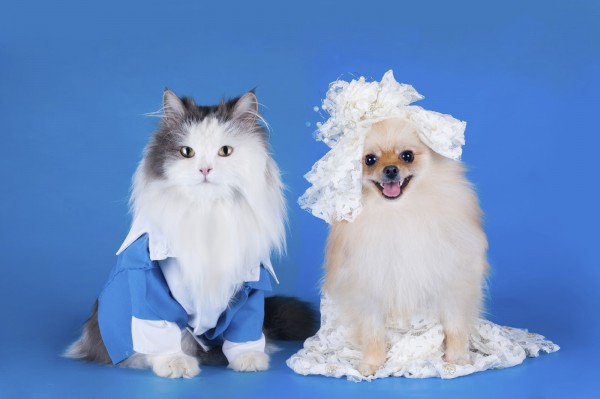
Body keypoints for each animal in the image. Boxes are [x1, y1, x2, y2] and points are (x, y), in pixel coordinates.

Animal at [65, 89, 316, 380]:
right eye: (187, 152)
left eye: (225, 151)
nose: (205, 169)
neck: (208, 214)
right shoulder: (149, 284)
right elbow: (161, 332)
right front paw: (174, 363)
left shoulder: (251, 285)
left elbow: (245, 331)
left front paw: (248, 358)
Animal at [324, 117, 488, 376]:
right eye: (370, 159)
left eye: (407, 156)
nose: (390, 169)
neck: (400, 212)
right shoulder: (369, 287)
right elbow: (373, 334)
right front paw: (372, 364)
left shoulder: (453, 282)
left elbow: (455, 327)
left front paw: (458, 360)